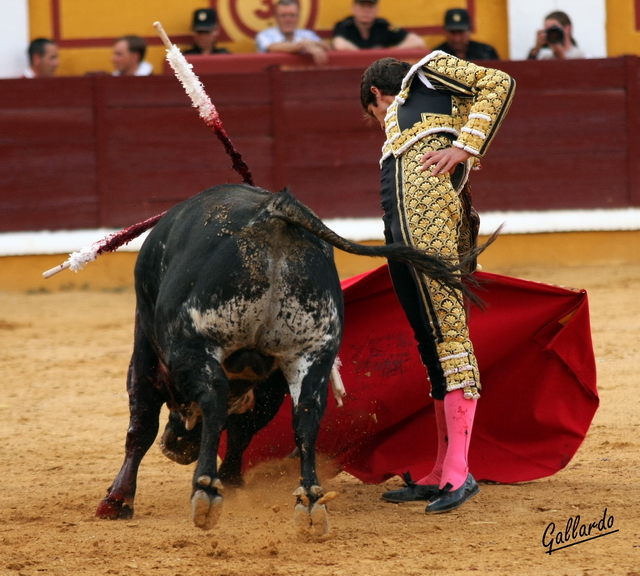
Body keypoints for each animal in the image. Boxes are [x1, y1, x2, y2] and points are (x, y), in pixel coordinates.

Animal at [96, 184, 476, 536]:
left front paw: (117, 500)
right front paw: (233, 481)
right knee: (306, 416)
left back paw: (205, 490)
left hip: (197, 343)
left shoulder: (147, 355)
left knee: (215, 398)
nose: (177, 449)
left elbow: (142, 426)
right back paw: (309, 501)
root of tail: (273, 212)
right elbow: (244, 429)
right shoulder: (272, 381)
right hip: (312, 352)